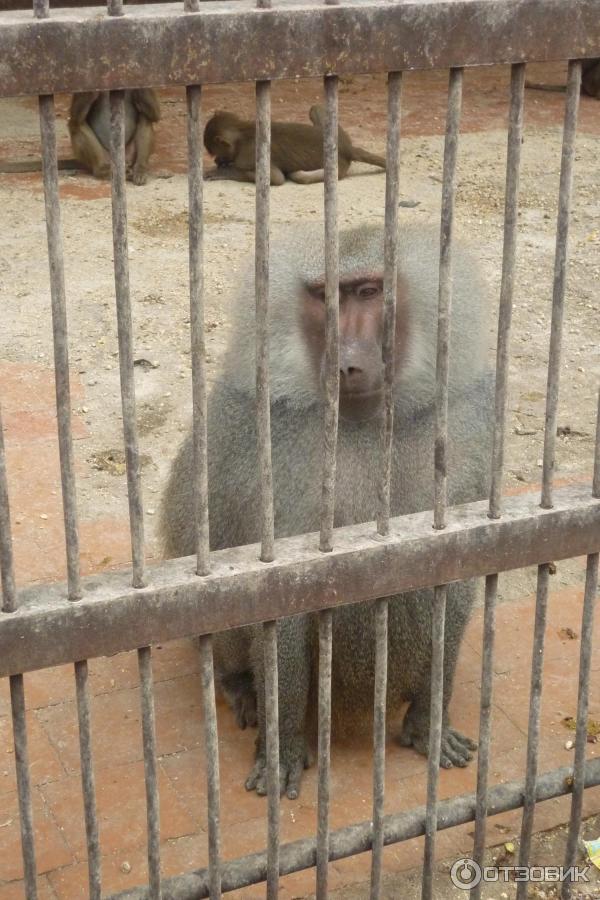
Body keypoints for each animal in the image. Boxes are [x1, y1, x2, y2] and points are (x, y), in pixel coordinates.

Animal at [161, 221, 492, 800]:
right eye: (324, 297)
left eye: (369, 291)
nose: (348, 362)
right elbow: (278, 601)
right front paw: (283, 750)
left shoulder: (464, 429)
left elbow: (454, 576)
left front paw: (429, 724)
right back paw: (242, 689)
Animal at [204, 103, 386, 185]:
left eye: (214, 152)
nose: (216, 160)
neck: (242, 133)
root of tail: (347, 147)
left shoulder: (247, 155)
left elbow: (276, 178)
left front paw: (222, 171)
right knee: (315, 108)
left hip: (338, 166)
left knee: (301, 177)